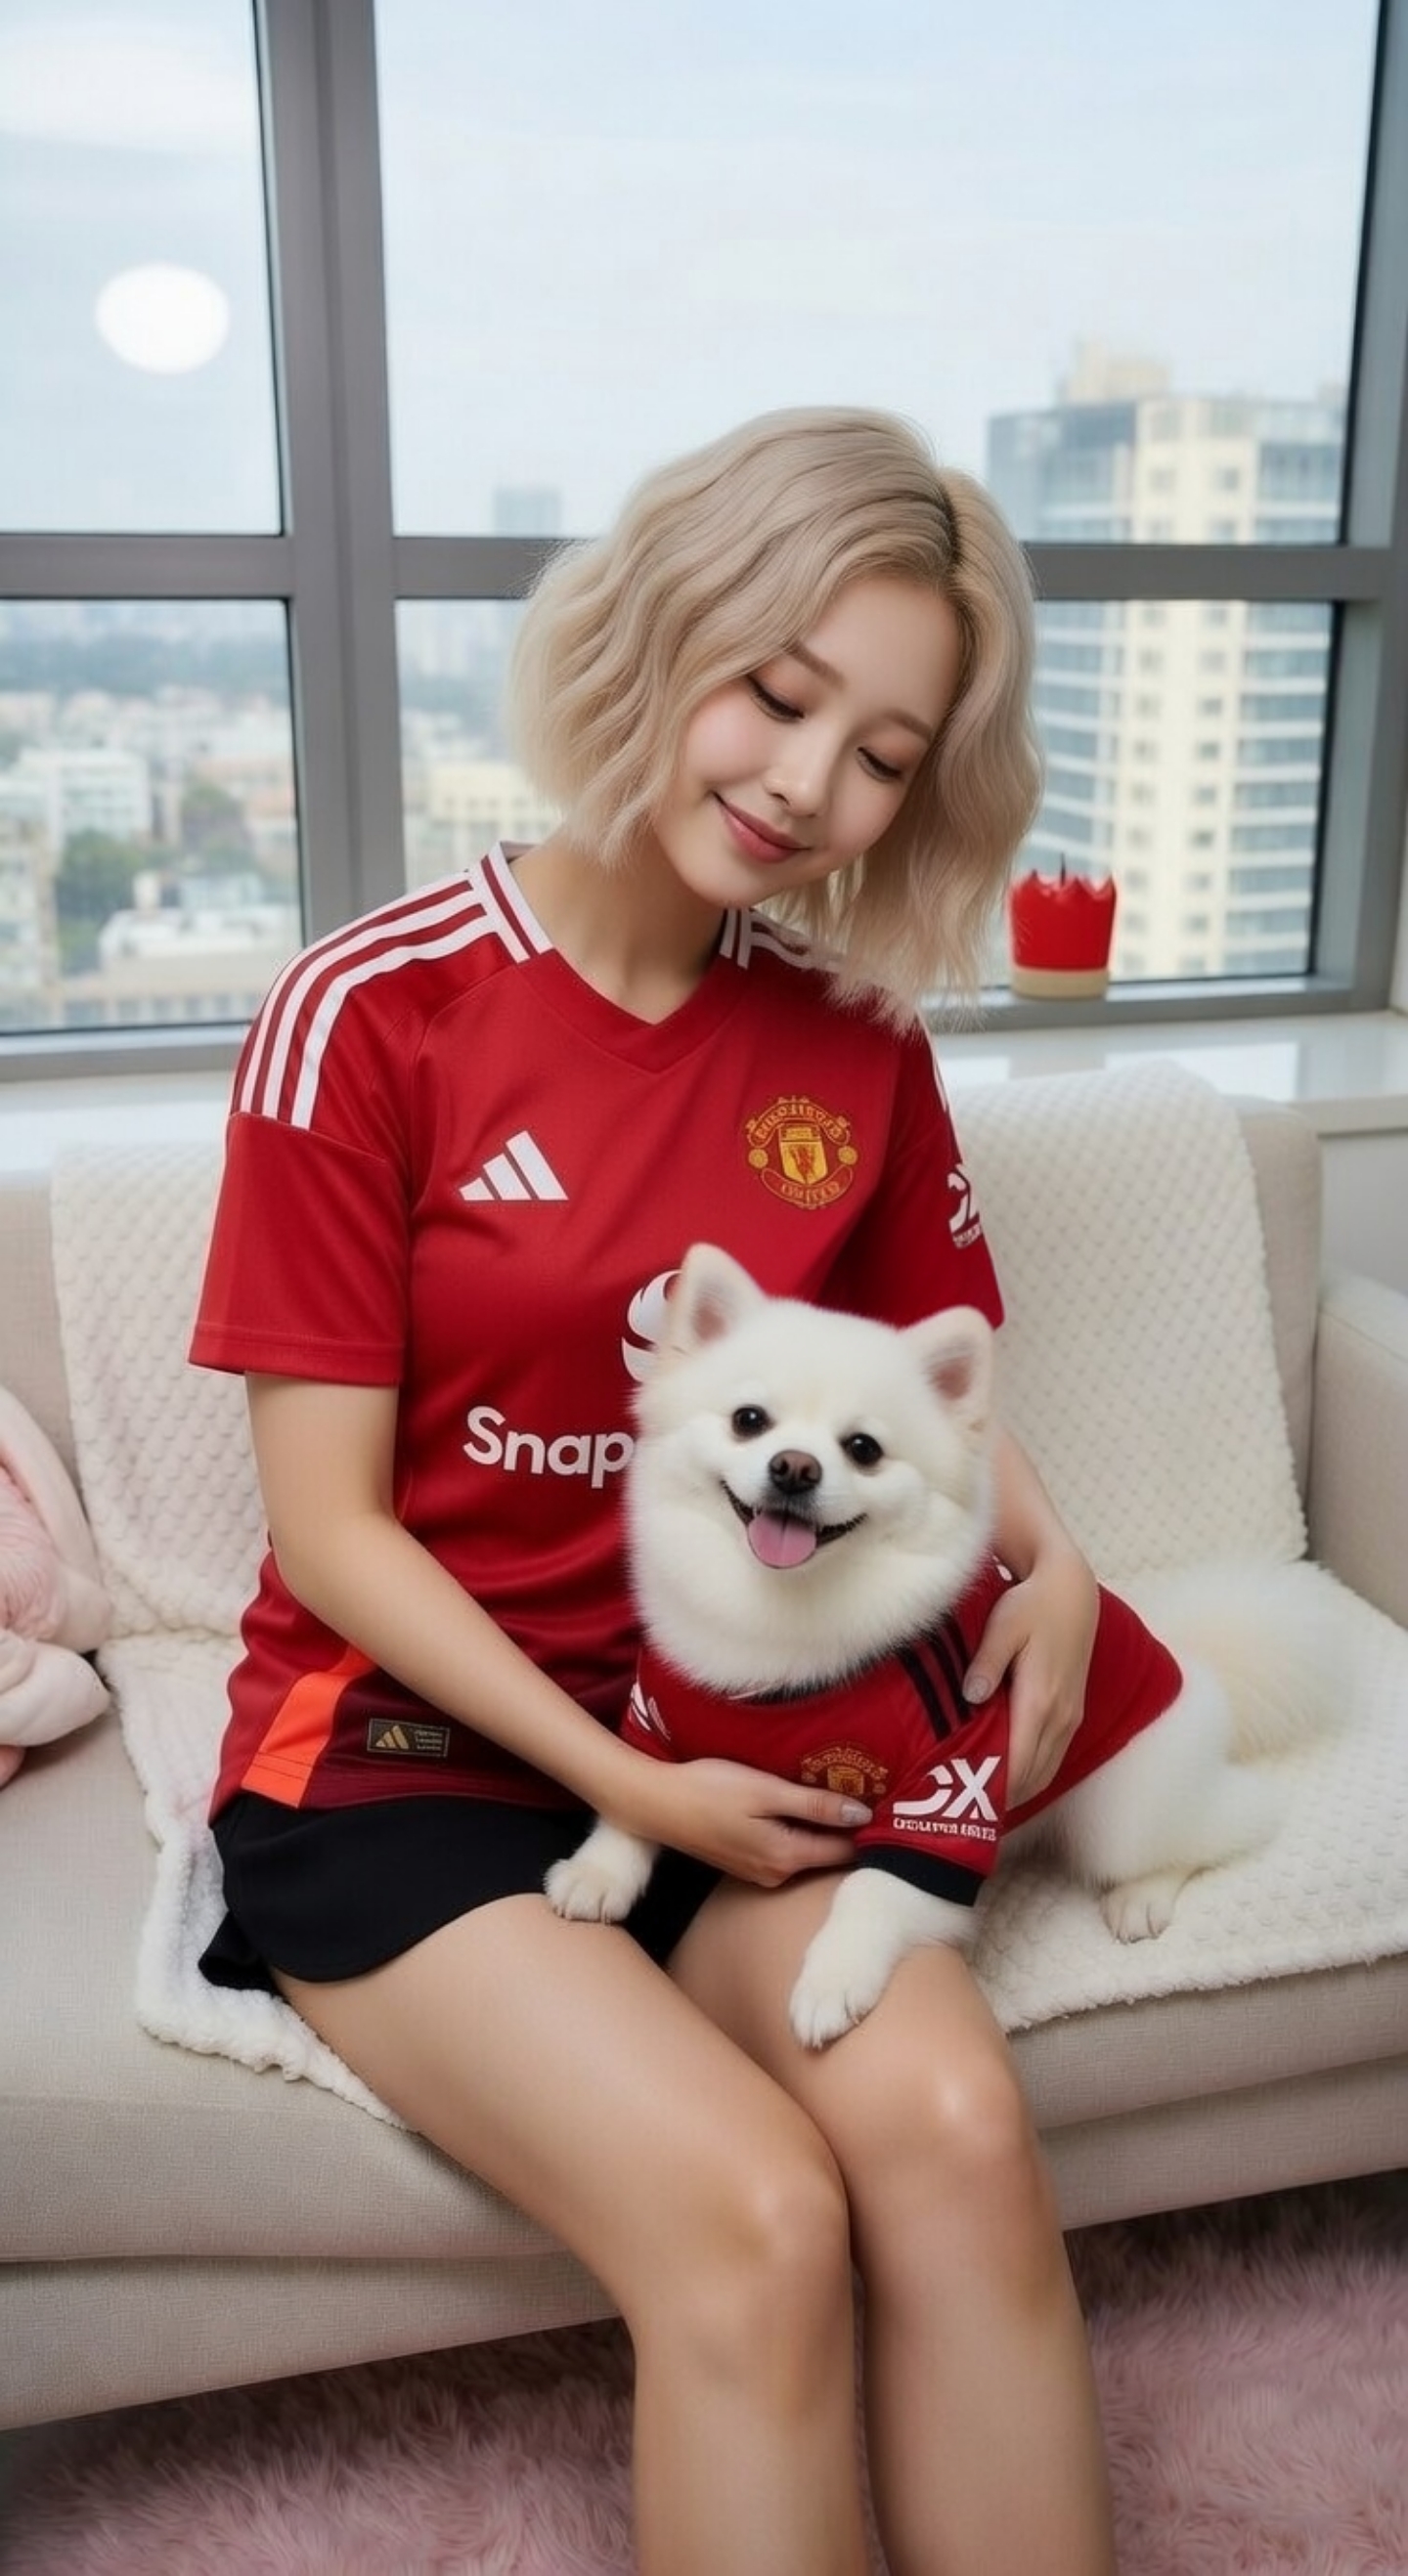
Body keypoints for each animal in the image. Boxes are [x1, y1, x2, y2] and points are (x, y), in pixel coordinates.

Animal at [547, 1243, 1336, 2047]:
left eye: (863, 1449)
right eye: (749, 1420)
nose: (794, 1466)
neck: (779, 1614)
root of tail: (1190, 1666)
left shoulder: (953, 1782)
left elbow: (871, 1890)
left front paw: (832, 1980)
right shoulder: (659, 1719)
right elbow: (636, 1807)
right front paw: (598, 1873)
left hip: (1125, 1812)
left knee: (1233, 1818)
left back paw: (1142, 1894)